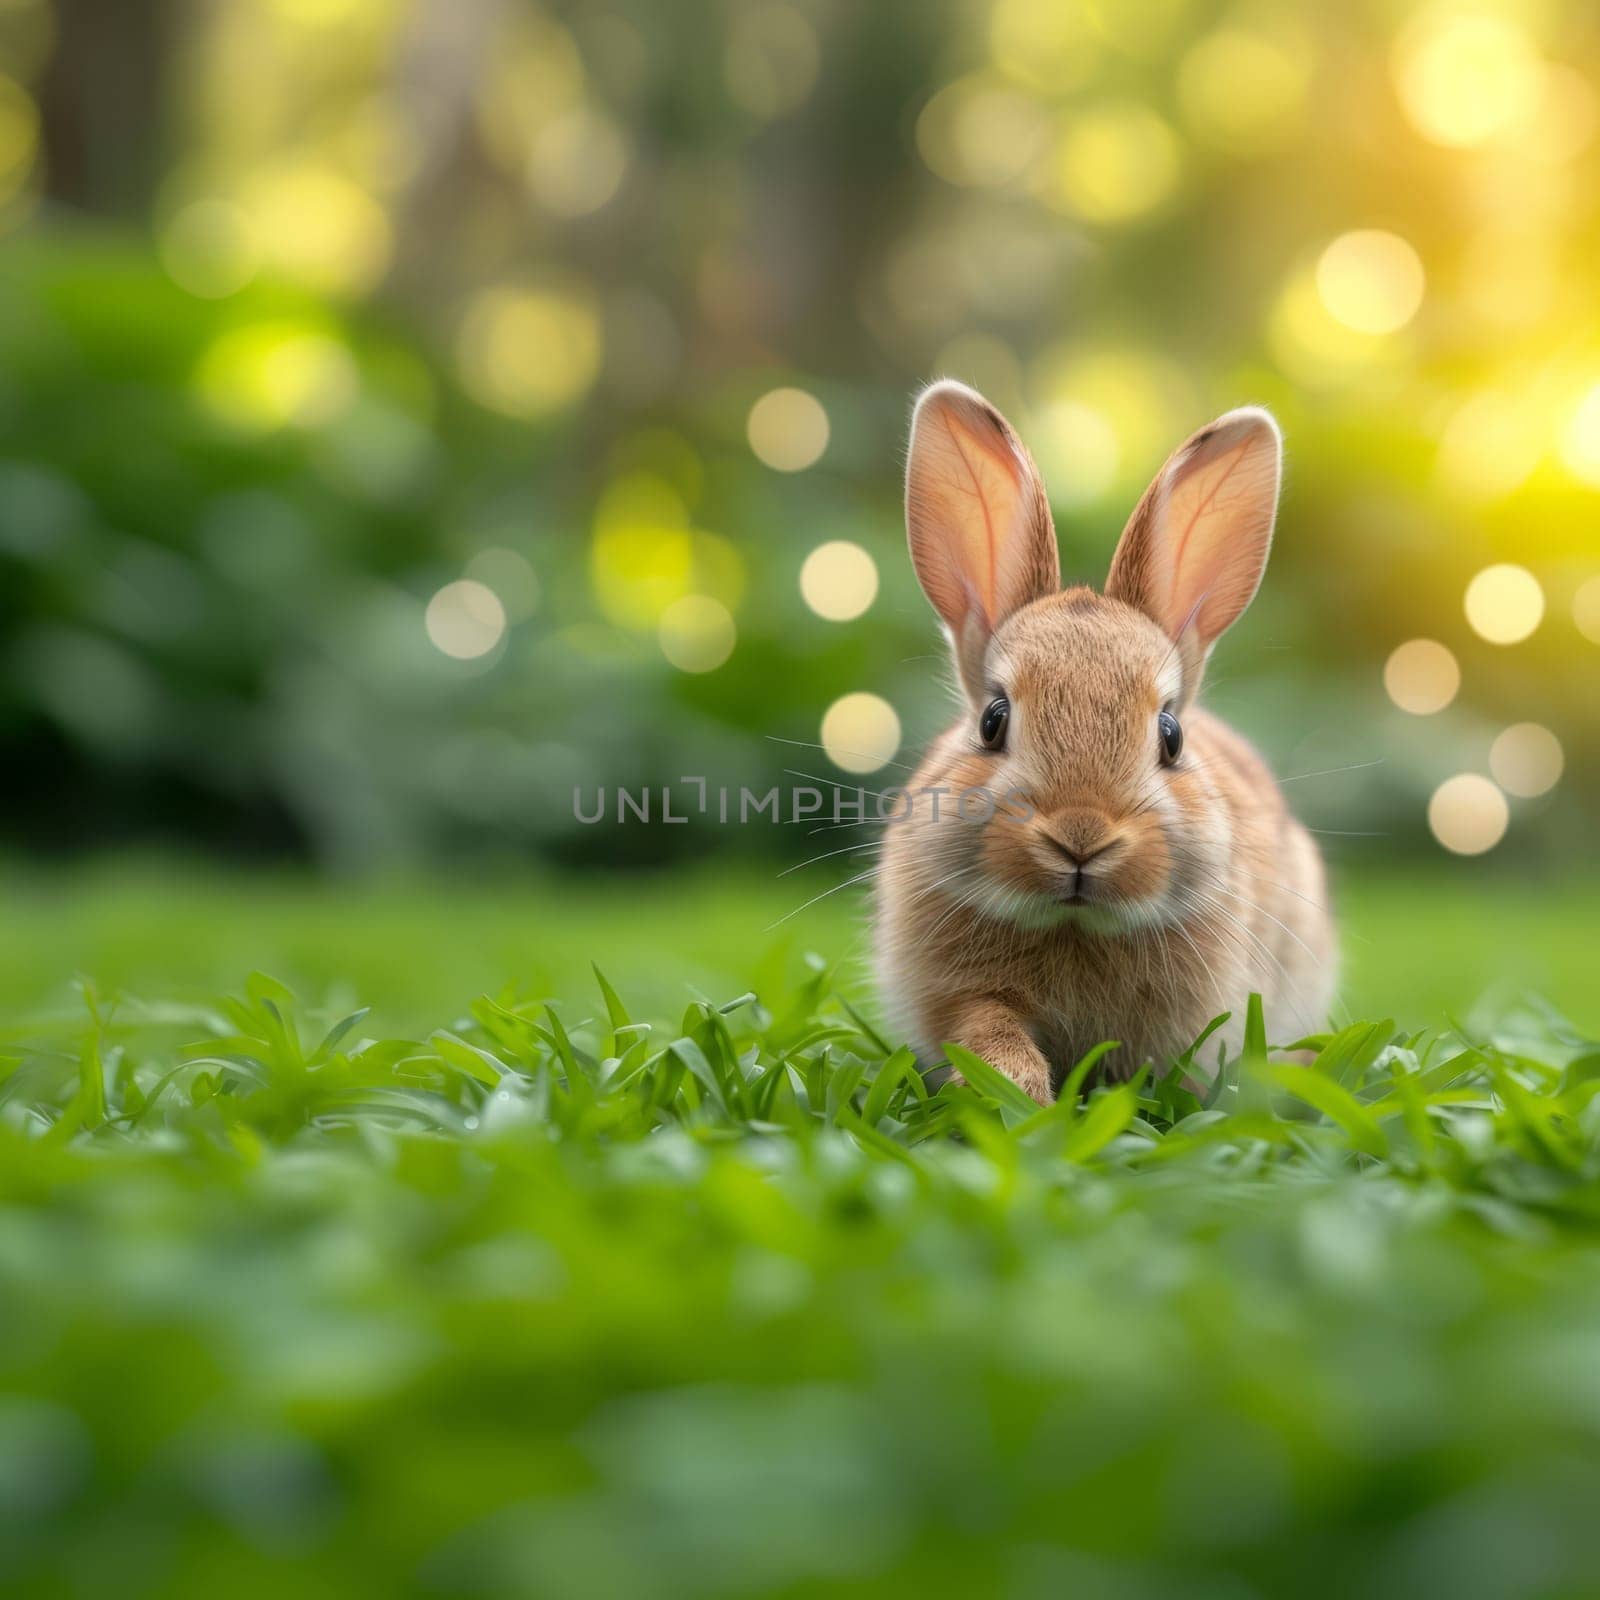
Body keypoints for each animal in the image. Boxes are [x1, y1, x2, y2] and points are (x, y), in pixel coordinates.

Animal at [876, 377, 1337, 1100]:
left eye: (1171, 737)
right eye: (992, 721)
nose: (1081, 837)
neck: (1075, 924)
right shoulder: (962, 995)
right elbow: (987, 1027)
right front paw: (1016, 1090)